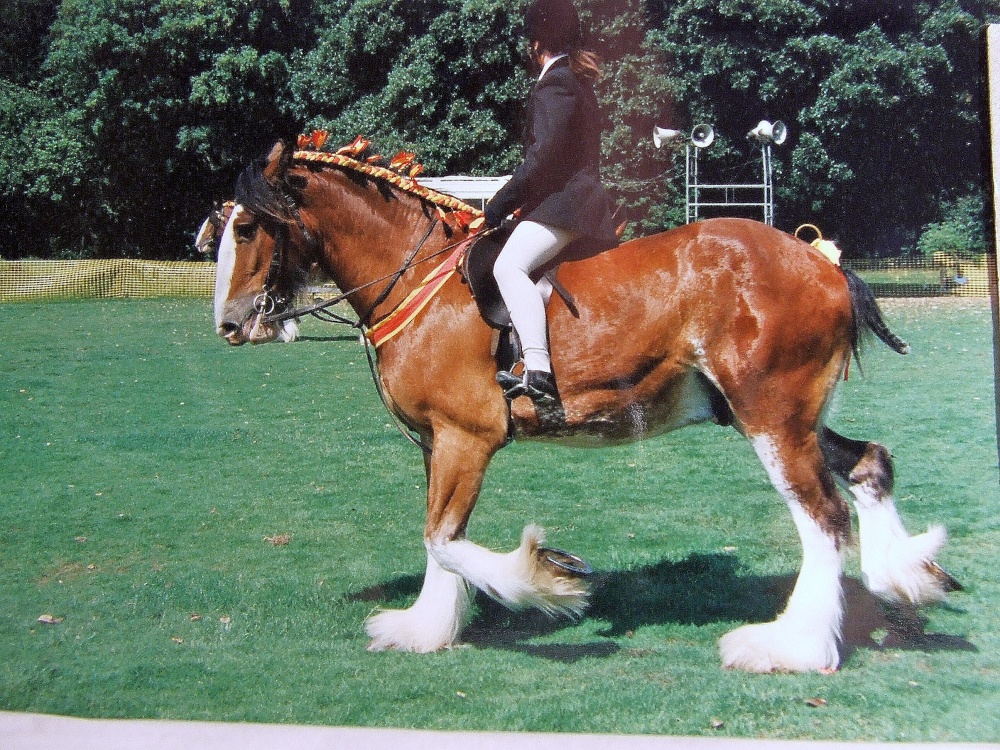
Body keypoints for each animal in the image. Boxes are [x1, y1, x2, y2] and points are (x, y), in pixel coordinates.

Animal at [213, 141, 960, 676]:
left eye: (247, 228)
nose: (229, 323)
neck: (420, 279)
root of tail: (822, 263)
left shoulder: (467, 437)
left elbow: (444, 540)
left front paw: (549, 578)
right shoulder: (437, 443)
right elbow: (439, 539)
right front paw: (424, 628)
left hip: (772, 419)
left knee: (823, 518)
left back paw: (790, 646)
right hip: (783, 416)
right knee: (868, 464)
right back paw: (904, 574)